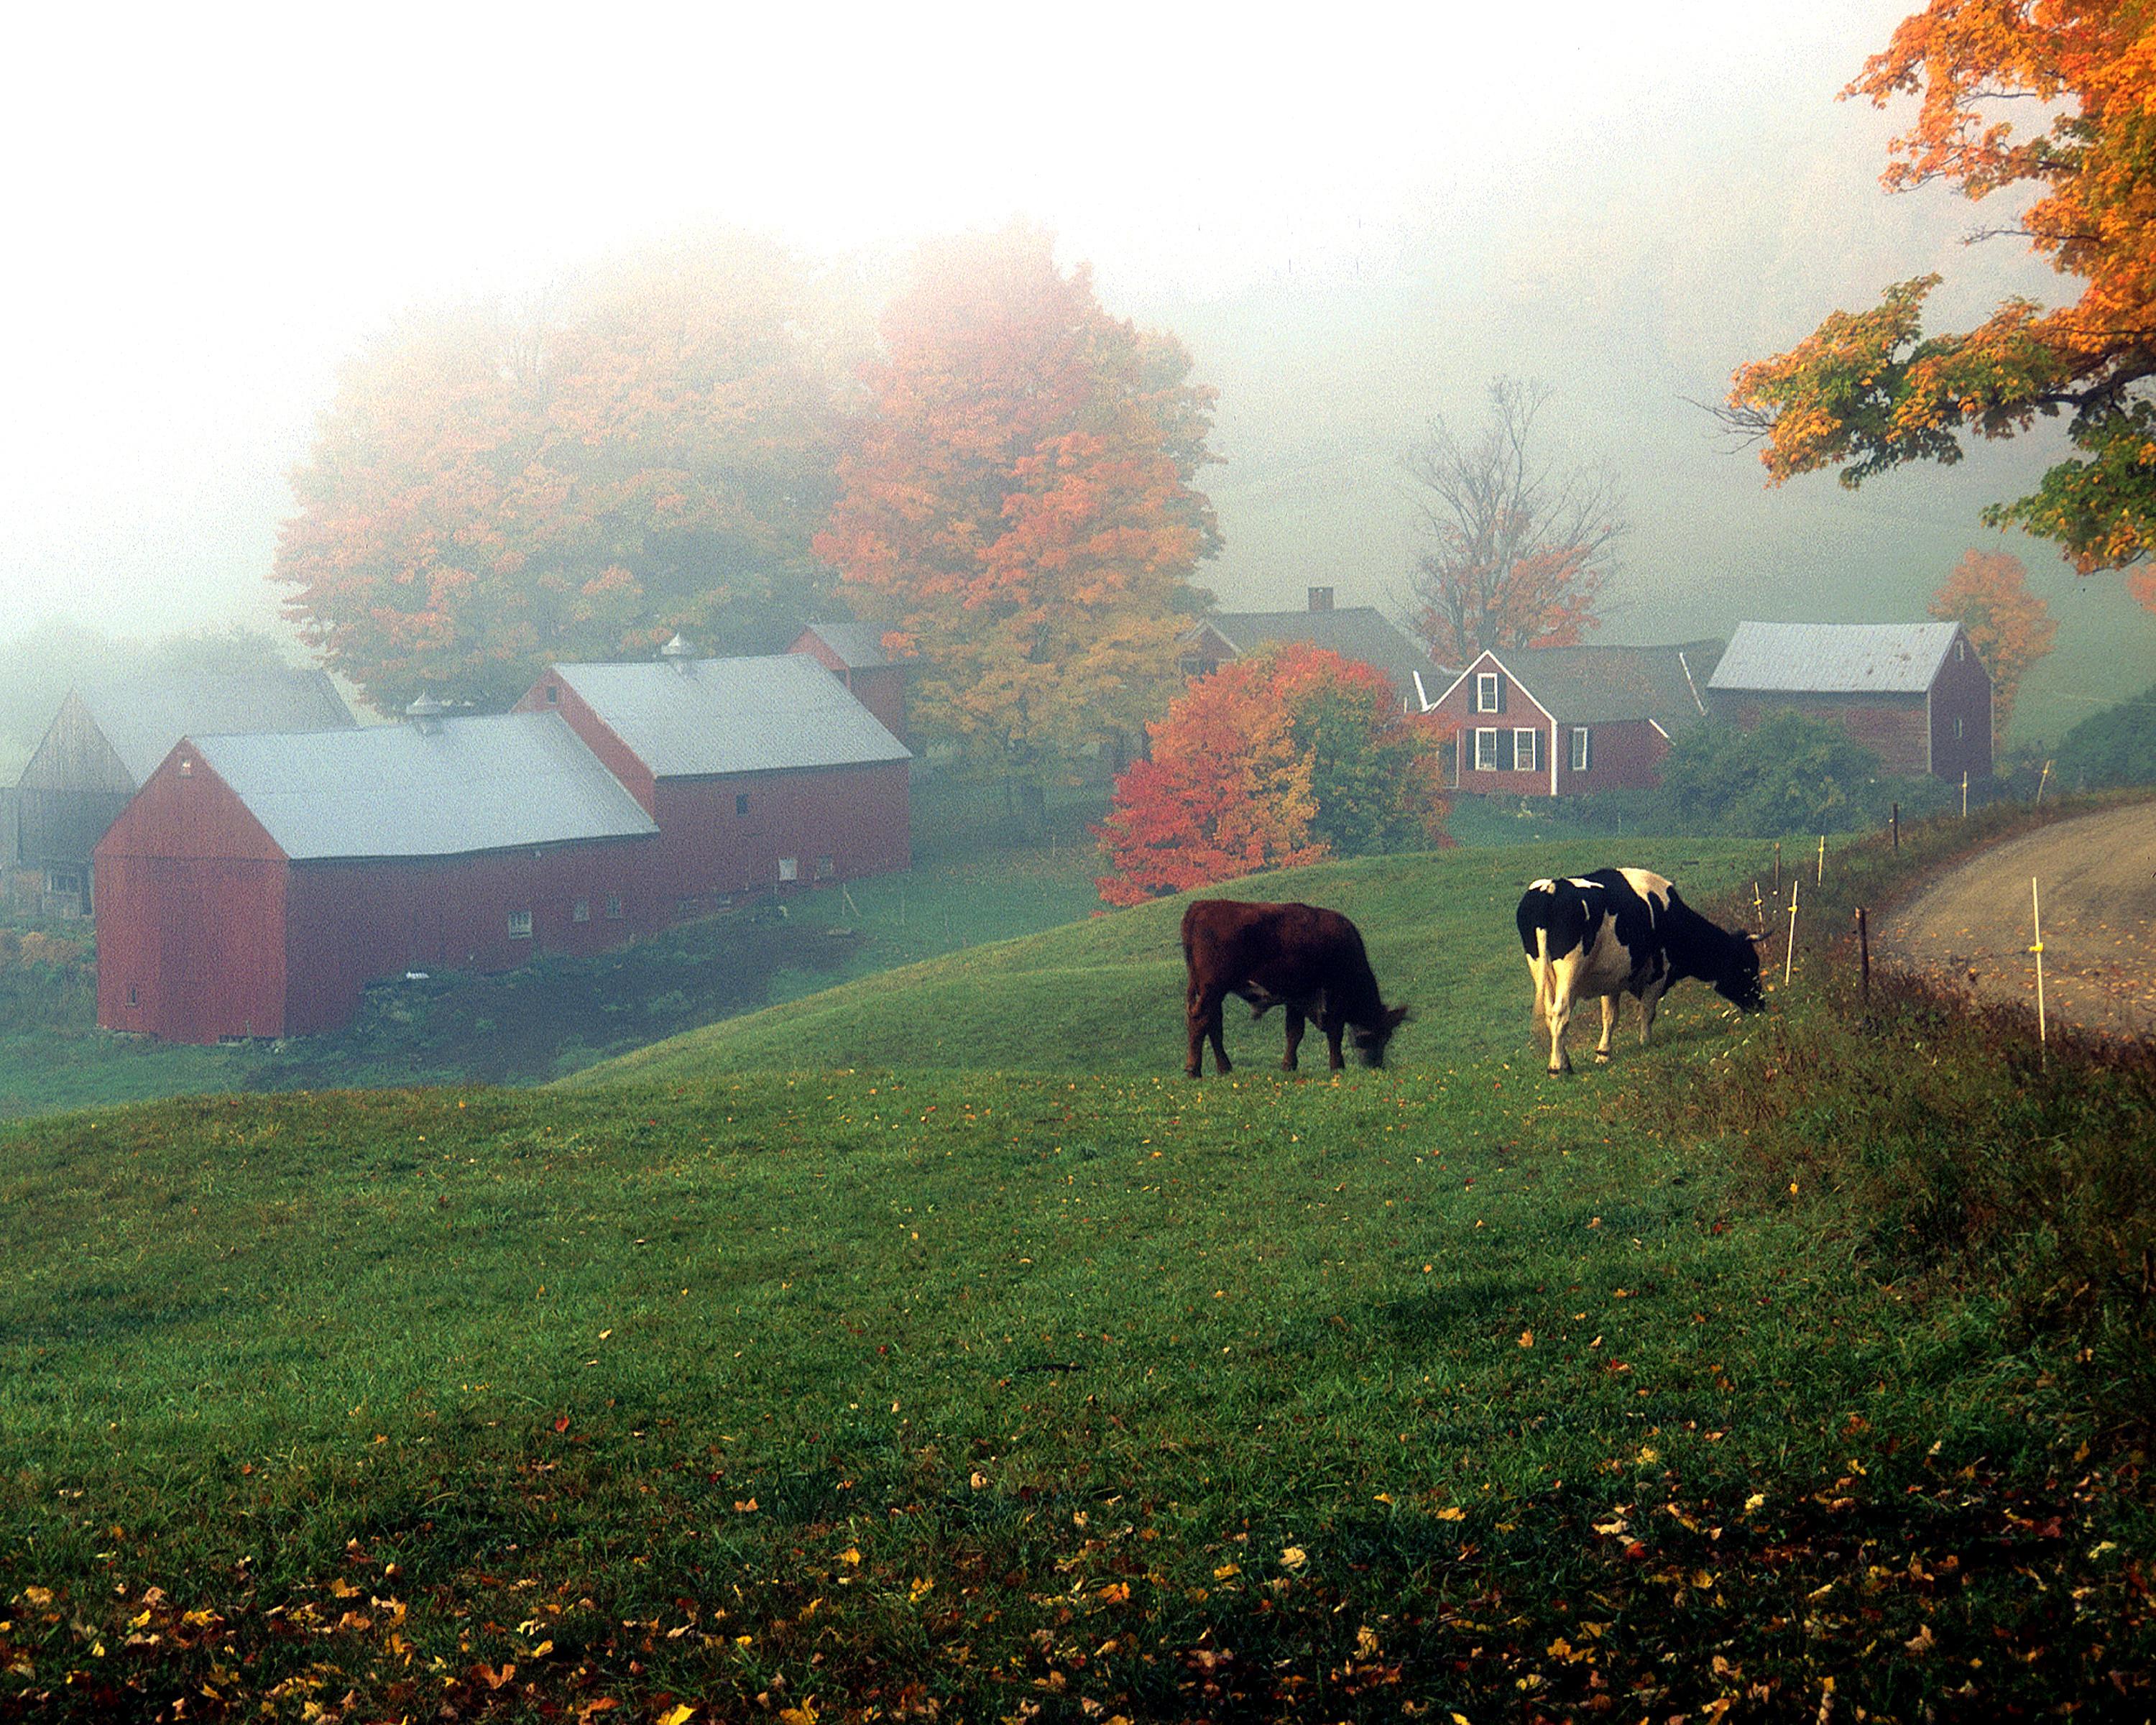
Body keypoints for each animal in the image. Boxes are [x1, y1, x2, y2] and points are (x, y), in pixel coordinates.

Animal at [1181, 901, 1414, 1078]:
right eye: (1380, 1034)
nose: (1376, 1064)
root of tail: (1201, 906)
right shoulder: (1332, 998)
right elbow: (1334, 1033)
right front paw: (1337, 1066)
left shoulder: (1296, 997)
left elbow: (1294, 1032)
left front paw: (1289, 1065)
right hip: (1212, 989)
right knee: (1201, 1021)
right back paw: (1194, 1070)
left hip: (1211, 992)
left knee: (1213, 1025)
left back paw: (1225, 1069)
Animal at [1518, 871, 1768, 1070]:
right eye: (1748, 967)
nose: (1761, 1006)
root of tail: (1551, 887)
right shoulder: (1658, 973)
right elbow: (1647, 1012)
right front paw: (1646, 1043)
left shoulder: (1612, 978)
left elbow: (1610, 1017)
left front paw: (1603, 1054)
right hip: (1569, 970)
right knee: (1560, 1012)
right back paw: (1557, 1067)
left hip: (1541, 971)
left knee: (1551, 1015)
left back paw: (1564, 1059)